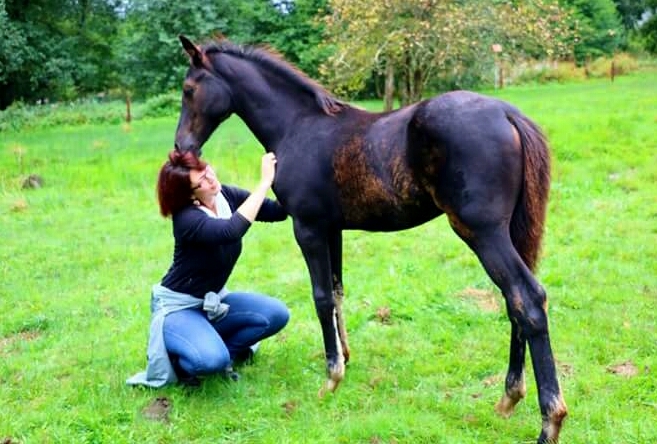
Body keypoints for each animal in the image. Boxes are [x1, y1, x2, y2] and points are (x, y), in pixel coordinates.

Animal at [173, 35, 567, 443]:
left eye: (189, 89)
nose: (182, 148)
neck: (296, 126)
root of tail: (507, 112)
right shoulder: (332, 229)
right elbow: (337, 291)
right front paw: (345, 359)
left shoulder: (308, 228)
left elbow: (320, 297)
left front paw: (331, 379)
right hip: (510, 232)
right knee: (514, 302)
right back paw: (509, 398)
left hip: (482, 232)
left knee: (526, 298)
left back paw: (549, 421)